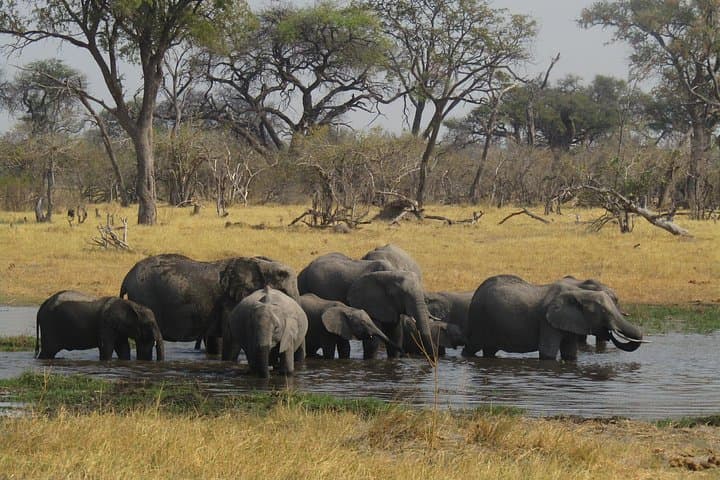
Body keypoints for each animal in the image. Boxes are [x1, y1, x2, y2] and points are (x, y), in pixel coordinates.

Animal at [36, 290, 164, 360]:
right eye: (149, 324)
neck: (133, 305)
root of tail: (44, 304)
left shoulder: (118, 327)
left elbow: (123, 349)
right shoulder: (106, 324)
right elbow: (106, 348)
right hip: (49, 325)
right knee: (47, 351)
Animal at [120, 253, 299, 356]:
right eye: (283, 290)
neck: (260, 264)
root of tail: (127, 277)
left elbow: (216, 340)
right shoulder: (229, 301)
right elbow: (231, 337)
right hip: (142, 298)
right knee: (145, 341)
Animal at [462, 275, 644, 361]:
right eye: (605, 312)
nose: (610, 331)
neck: (580, 293)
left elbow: (570, 354)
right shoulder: (547, 322)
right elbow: (547, 353)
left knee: (489, 350)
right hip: (480, 320)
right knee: (472, 346)